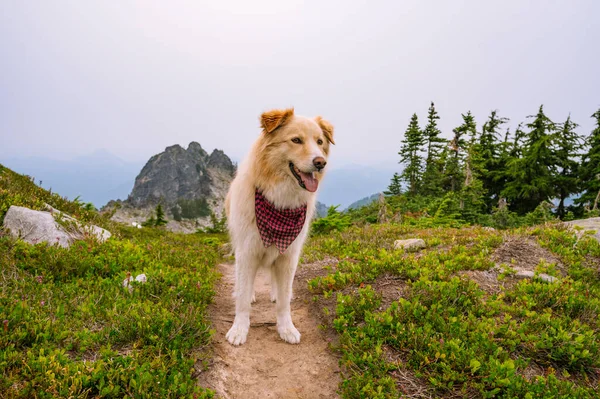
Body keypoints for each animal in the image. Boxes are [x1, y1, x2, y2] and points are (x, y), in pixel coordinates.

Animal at [225, 108, 336, 346]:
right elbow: (242, 298)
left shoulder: (289, 255)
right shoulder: (247, 252)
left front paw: (286, 328)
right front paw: (239, 329)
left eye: (320, 142)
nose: (320, 162)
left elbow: (285, 301)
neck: (280, 202)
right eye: (296, 140)